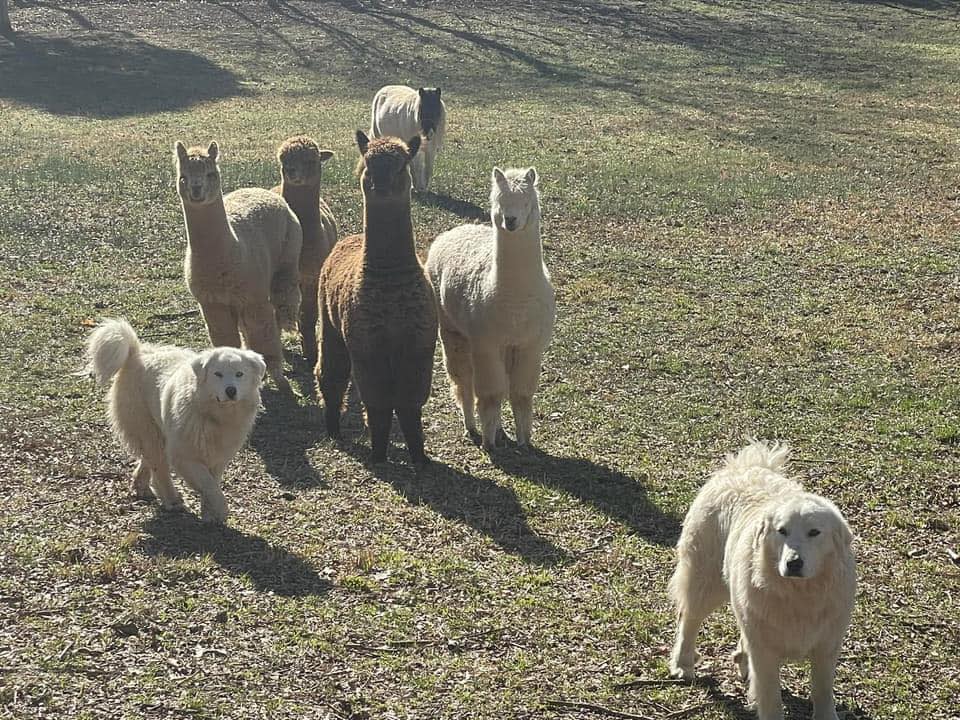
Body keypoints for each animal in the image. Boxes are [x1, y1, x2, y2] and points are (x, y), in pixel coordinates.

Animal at [175, 140, 302, 391]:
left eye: (211, 174)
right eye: (183, 177)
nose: (196, 190)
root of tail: (262, 190)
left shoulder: (254, 298)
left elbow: (264, 335)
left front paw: (280, 380)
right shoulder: (213, 303)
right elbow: (225, 338)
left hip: (287, 257)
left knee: (282, 303)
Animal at [271, 135, 339, 366]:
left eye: (311, 160)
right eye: (283, 159)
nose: (291, 171)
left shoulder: (312, 277)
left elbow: (308, 316)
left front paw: (311, 352)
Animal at [316, 131, 438, 466]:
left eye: (401, 165)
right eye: (369, 163)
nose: (381, 184)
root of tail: (350, 239)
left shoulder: (418, 346)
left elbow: (410, 403)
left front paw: (419, 456)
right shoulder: (367, 347)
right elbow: (379, 404)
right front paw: (379, 454)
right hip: (330, 326)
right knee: (330, 374)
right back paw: (333, 429)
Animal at [425, 167, 555, 452]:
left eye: (526, 201)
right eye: (499, 201)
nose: (510, 220)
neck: (515, 301)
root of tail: (457, 230)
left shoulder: (530, 345)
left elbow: (521, 394)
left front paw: (524, 441)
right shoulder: (486, 342)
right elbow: (491, 394)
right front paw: (488, 443)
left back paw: (499, 430)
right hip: (452, 328)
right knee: (463, 381)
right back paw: (472, 427)